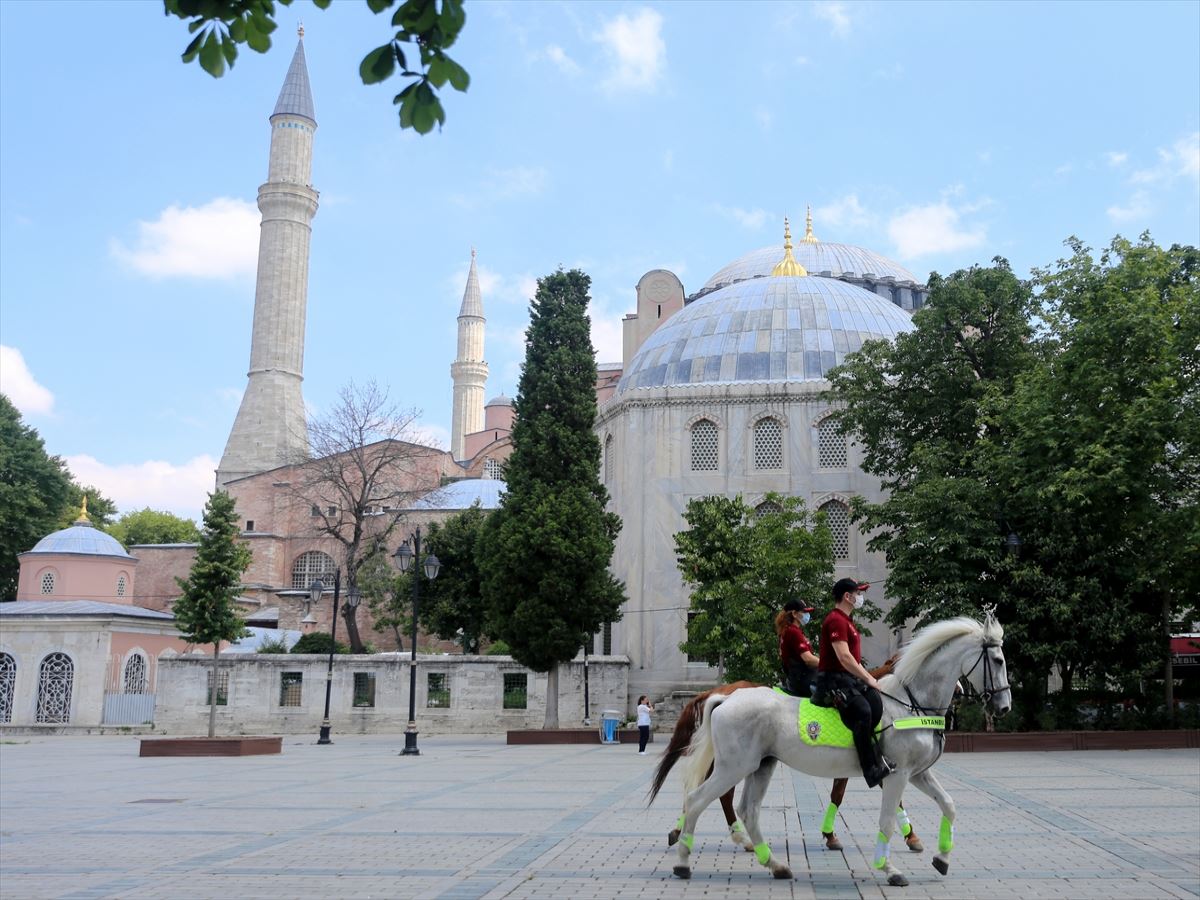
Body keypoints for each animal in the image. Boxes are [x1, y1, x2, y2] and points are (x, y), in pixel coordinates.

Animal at [652, 676, 921, 854]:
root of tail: (721, 693)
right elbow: (857, 795)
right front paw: (911, 836)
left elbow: (841, 795)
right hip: (737, 762)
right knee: (715, 793)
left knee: (707, 791)